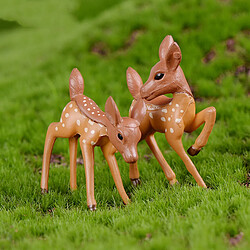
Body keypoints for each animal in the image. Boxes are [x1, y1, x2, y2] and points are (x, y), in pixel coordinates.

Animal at [41, 67, 146, 210]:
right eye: (120, 136)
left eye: (139, 136)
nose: (133, 158)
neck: (105, 129)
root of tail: (75, 96)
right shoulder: (86, 140)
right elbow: (89, 167)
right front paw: (92, 206)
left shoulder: (107, 149)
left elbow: (116, 174)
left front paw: (128, 202)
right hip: (66, 125)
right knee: (51, 128)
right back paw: (43, 189)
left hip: (74, 132)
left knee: (71, 142)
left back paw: (73, 189)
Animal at [128, 34, 216, 188]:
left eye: (158, 75)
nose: (143, 91)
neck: (178, 106)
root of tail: (135, 97)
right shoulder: (172, 133)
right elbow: (188, 163)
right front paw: (204, 187)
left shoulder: (189, 124)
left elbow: (211, 110)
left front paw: (194, 149)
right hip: (139, 127)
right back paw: (135, 180)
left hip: (149, 129)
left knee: (149, 141)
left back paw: (172, 181)